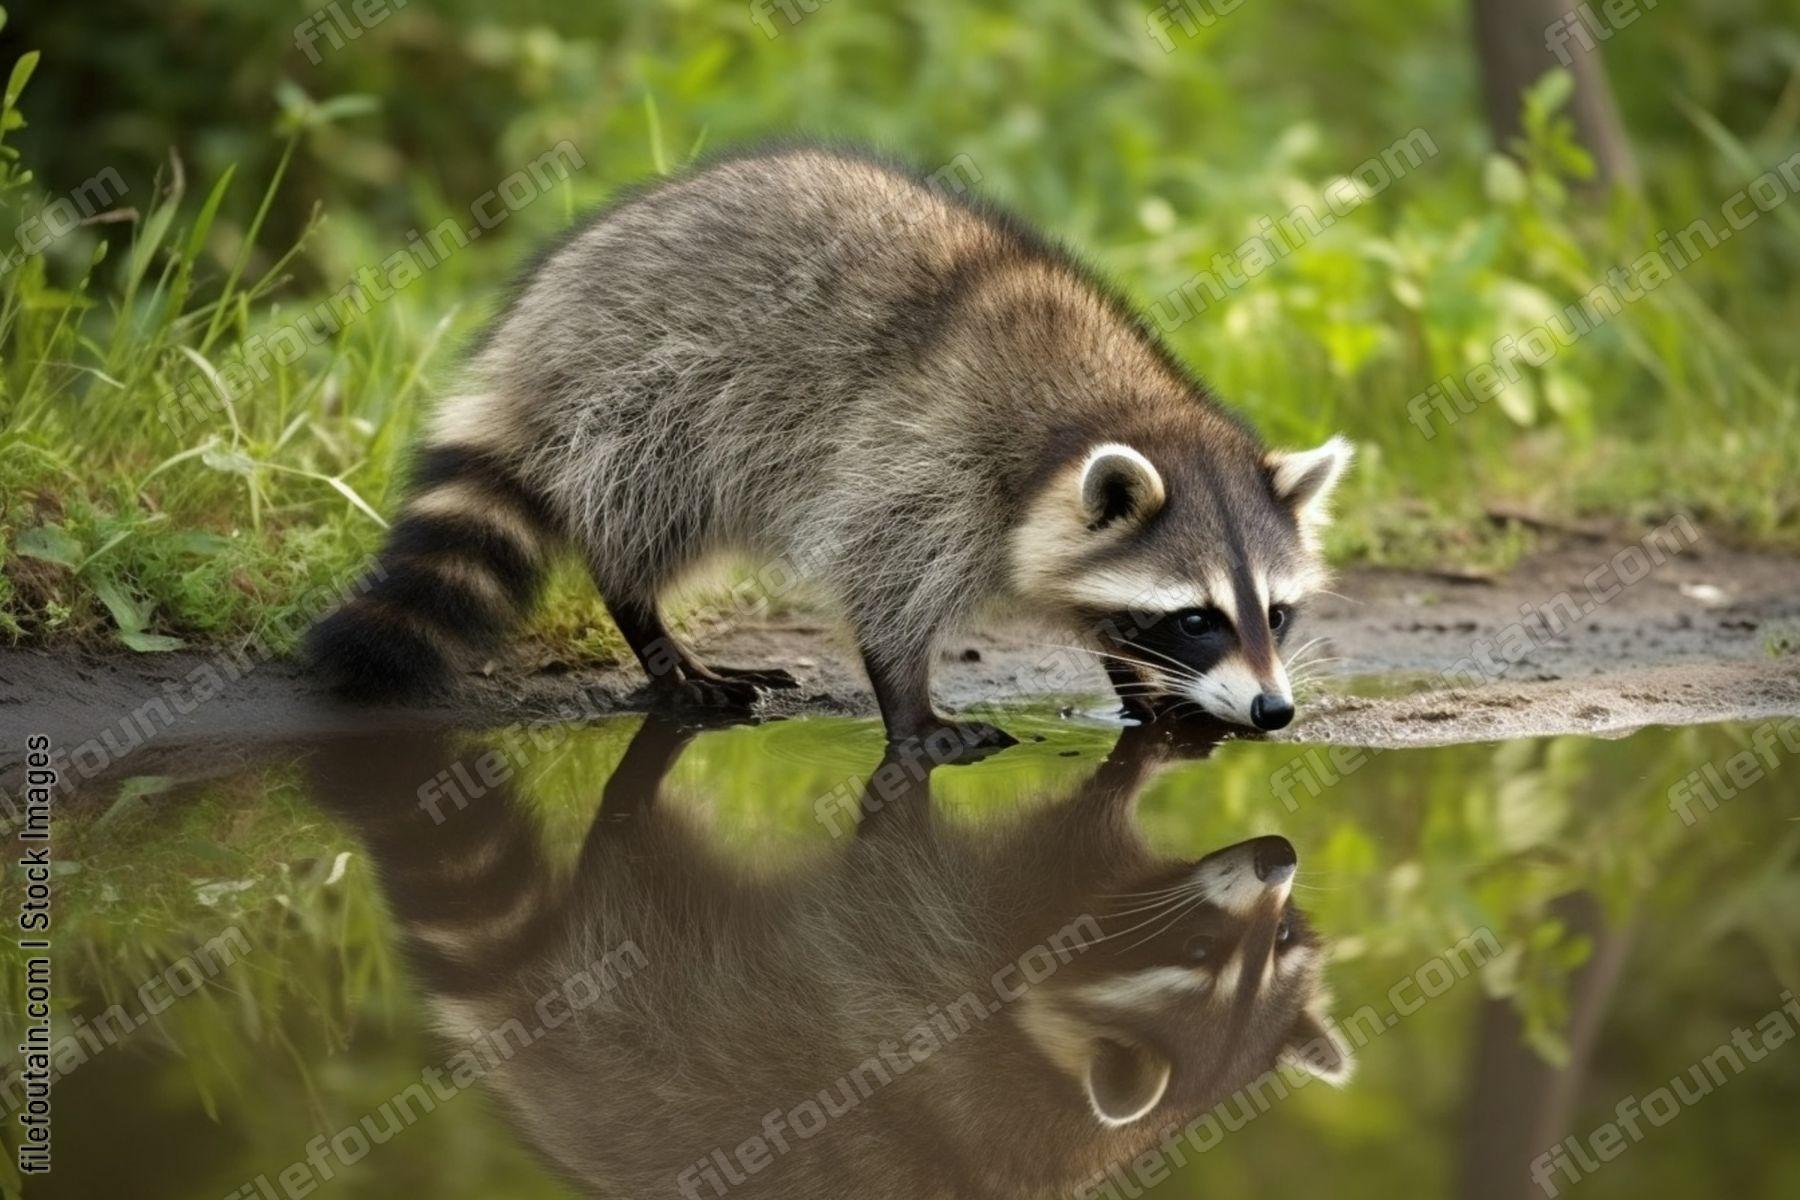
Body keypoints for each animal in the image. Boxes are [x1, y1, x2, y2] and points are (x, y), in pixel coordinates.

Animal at [305, 143, 1353, 747]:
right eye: (1197, 616)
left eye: (1279, 613)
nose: (1276, 709)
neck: (1110, 407)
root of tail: (544, 314)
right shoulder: (929, 448)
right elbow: (883, 569)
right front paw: (908, 696)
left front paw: (1144, 682)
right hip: (649, 393)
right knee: (650, 504)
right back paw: (643, 611)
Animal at [308, 719, 1351, 1199]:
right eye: (1209, 947)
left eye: (1275, 940)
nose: (1280, 857)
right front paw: (1141, 746)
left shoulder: (943, 957)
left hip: (638, 1016)